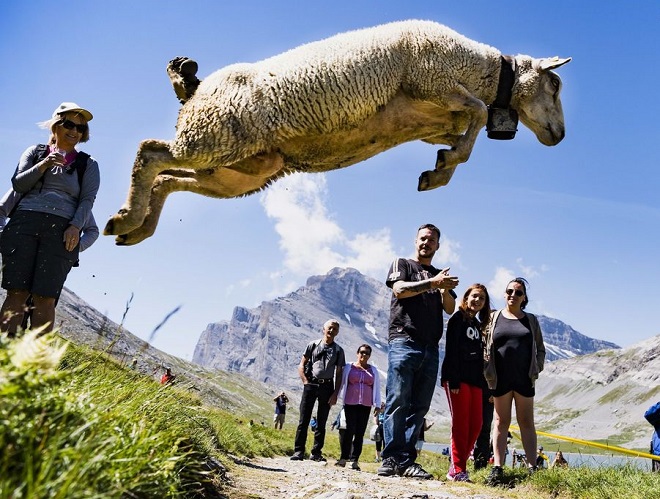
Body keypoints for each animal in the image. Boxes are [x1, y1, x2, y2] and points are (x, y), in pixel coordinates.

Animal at [105, 19, 568, 246]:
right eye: (556, 84)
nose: (561, 136)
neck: (483, 70)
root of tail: (195, 90)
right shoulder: (430, 78)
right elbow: (476, 116)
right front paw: (442, 170)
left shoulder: (438, 117)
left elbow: (466, 133)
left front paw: (438, 170)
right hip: (214, 135)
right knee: (151, 153)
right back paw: (127, 217)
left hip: (240, 169)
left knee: (167, 178)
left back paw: (135, 228)